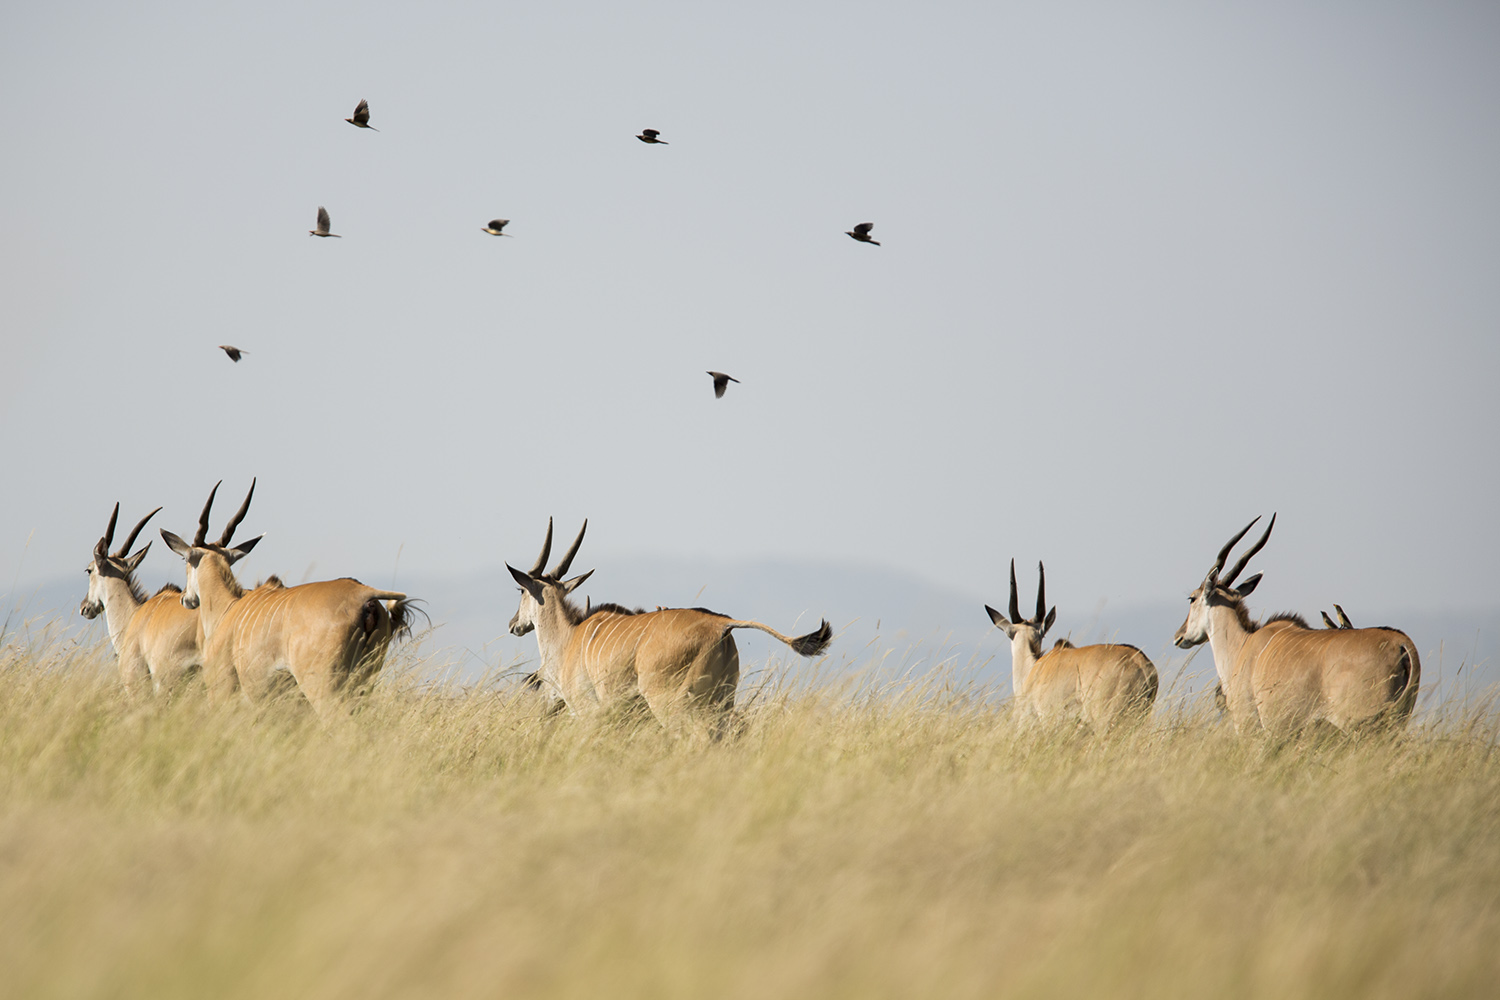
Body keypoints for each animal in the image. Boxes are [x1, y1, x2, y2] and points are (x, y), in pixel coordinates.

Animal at [159, 479, 411, 716]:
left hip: (324, 690)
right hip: (361, 685)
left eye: (185, 559)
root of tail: (364, 596)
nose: (186, 599)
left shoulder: (222, 693)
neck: (228, 608)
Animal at [504, 521, 834, 731]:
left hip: (672, 704)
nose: (513, 624)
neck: (568, 638)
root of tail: (722, 623)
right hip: (721, 701)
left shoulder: (589, 711)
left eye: (520, 590)